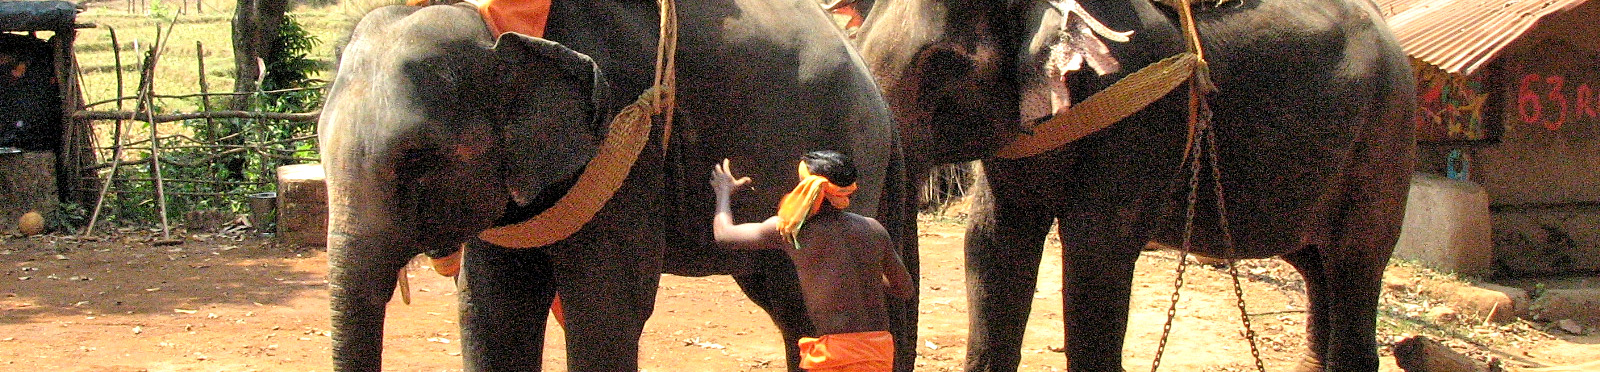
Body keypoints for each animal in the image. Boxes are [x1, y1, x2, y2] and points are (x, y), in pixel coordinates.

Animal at [316, 1, 921, 370]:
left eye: (415, 158)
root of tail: (877, 92)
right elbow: (490, 310)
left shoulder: (627, 141)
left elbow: (605, 309)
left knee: (803, 301)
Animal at [851, 0, 1414, 372]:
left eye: (941, 63)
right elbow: (994, 246)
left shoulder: (1140, 115)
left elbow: (1095, 253)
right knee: (1317, 267)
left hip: (1385, 142)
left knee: (1355, 264)